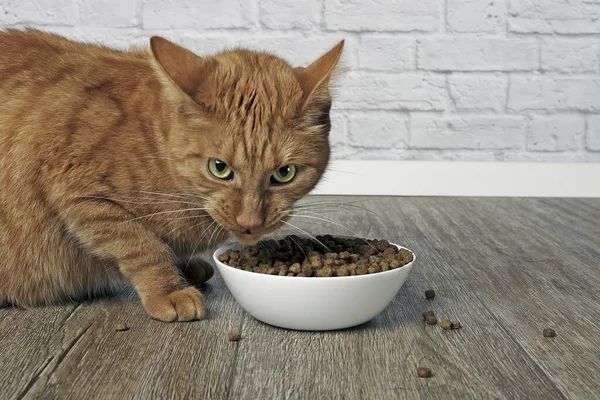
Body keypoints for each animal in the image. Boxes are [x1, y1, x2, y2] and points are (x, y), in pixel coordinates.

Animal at [0, 28, 342, 322]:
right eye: (219, 168)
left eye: (285, 173)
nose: (249, 223)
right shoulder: (81, 196)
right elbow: (144, 247)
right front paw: (169, 289)